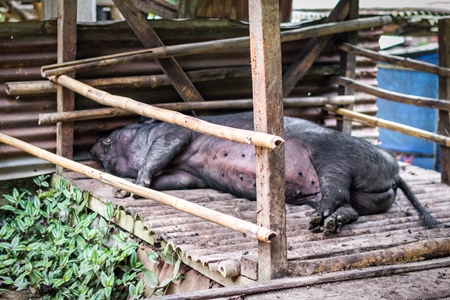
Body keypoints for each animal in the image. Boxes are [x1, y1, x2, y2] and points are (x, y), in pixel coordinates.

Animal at [89, 111, 438, 233]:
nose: (90, 148)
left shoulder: (174, 134)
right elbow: (169, 181)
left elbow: (156, 157)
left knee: (335, 193)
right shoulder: (189, 174)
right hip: (363, 197)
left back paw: (316, 222)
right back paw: (327, 225)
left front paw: (127, 187)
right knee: (348, 207)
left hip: (335, 159)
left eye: (109, 139)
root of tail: (394, 171)